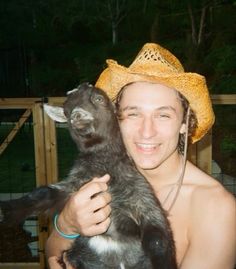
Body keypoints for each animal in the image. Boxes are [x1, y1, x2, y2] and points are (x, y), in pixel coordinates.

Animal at [0, 83, 177, 268]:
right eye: (66, 110)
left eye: (99, 98)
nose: (77, 115)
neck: (104, 167)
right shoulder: (75, 186)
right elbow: (44, 193)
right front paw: (7, 211)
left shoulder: (143, 199)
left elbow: (157, 240)